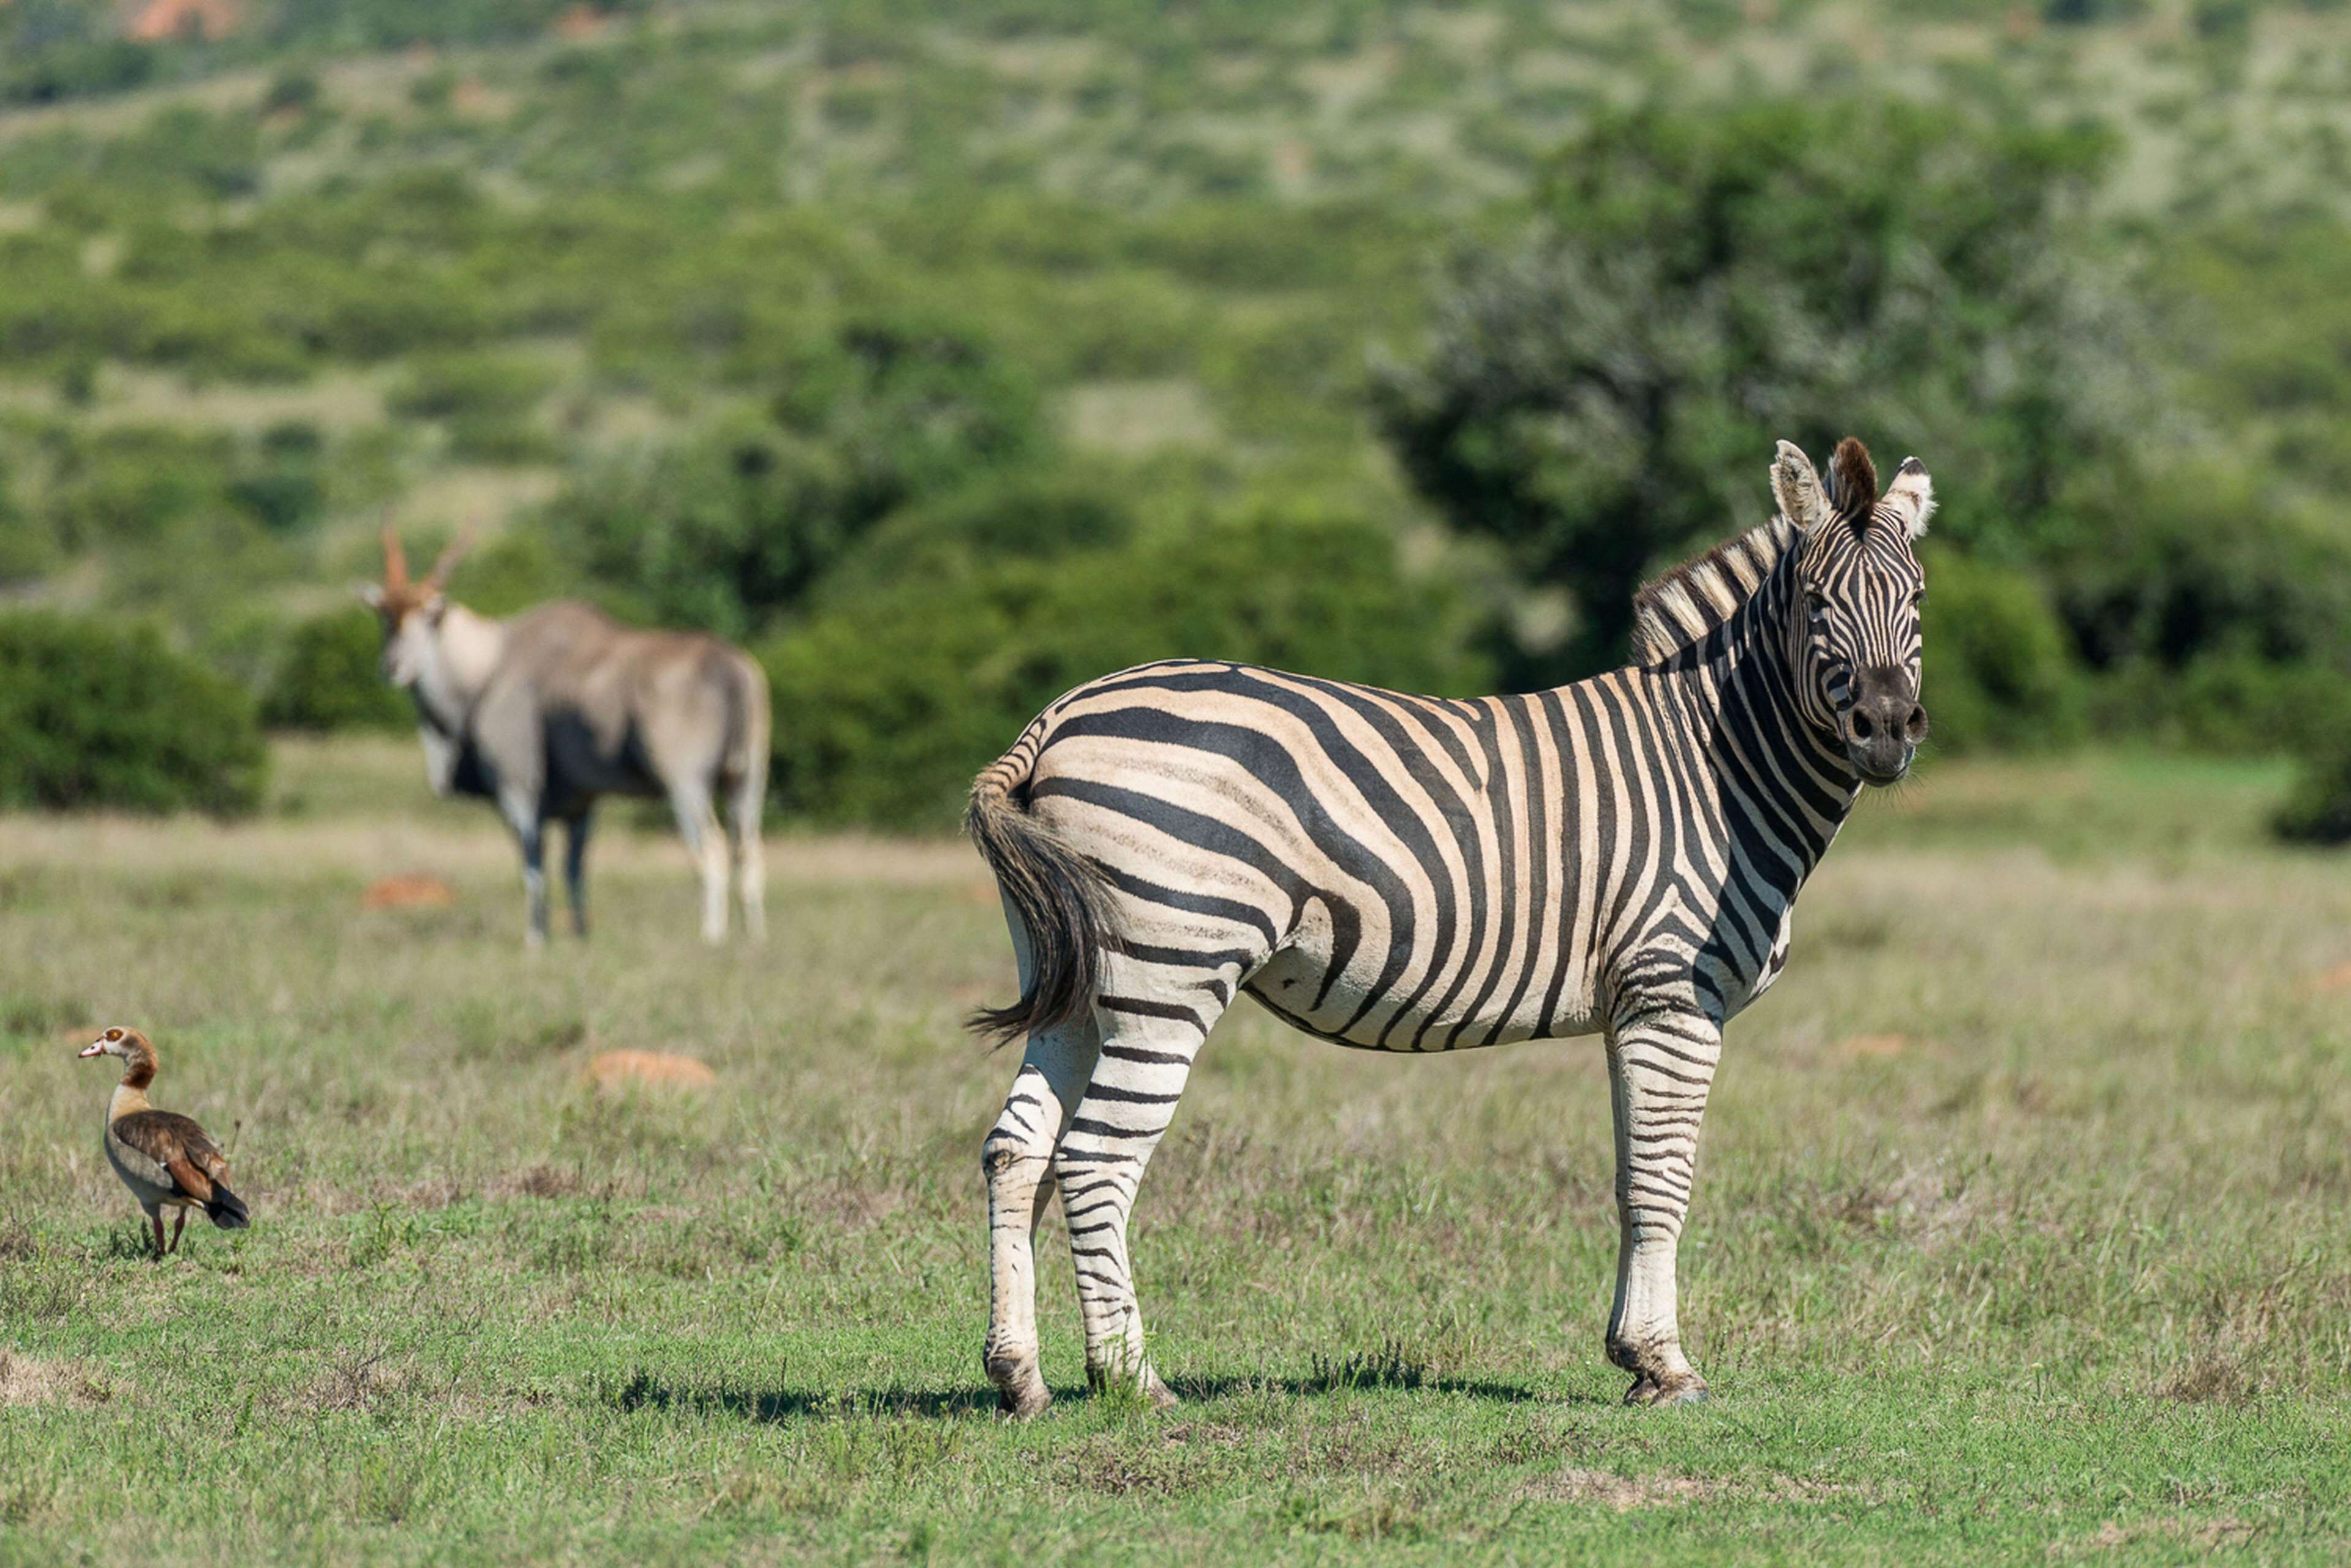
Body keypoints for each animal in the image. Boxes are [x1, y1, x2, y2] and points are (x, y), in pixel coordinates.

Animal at [965, 437, 1934, 1414]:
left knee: (1017, 1151)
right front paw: (1667, 1365)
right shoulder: (1674, 993)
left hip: (1073, 983)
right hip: (1171, 969)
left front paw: (1631, 1353)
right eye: (1816, 601)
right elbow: (1664, 1181)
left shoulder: (1632, 1006)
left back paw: (1020, 1376)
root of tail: (1057, 717)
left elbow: (1630, 1178)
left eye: (1918, 597)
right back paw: (1132, 1379)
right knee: (1093, 1159)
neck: (1715, 764)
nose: (1886, 730)